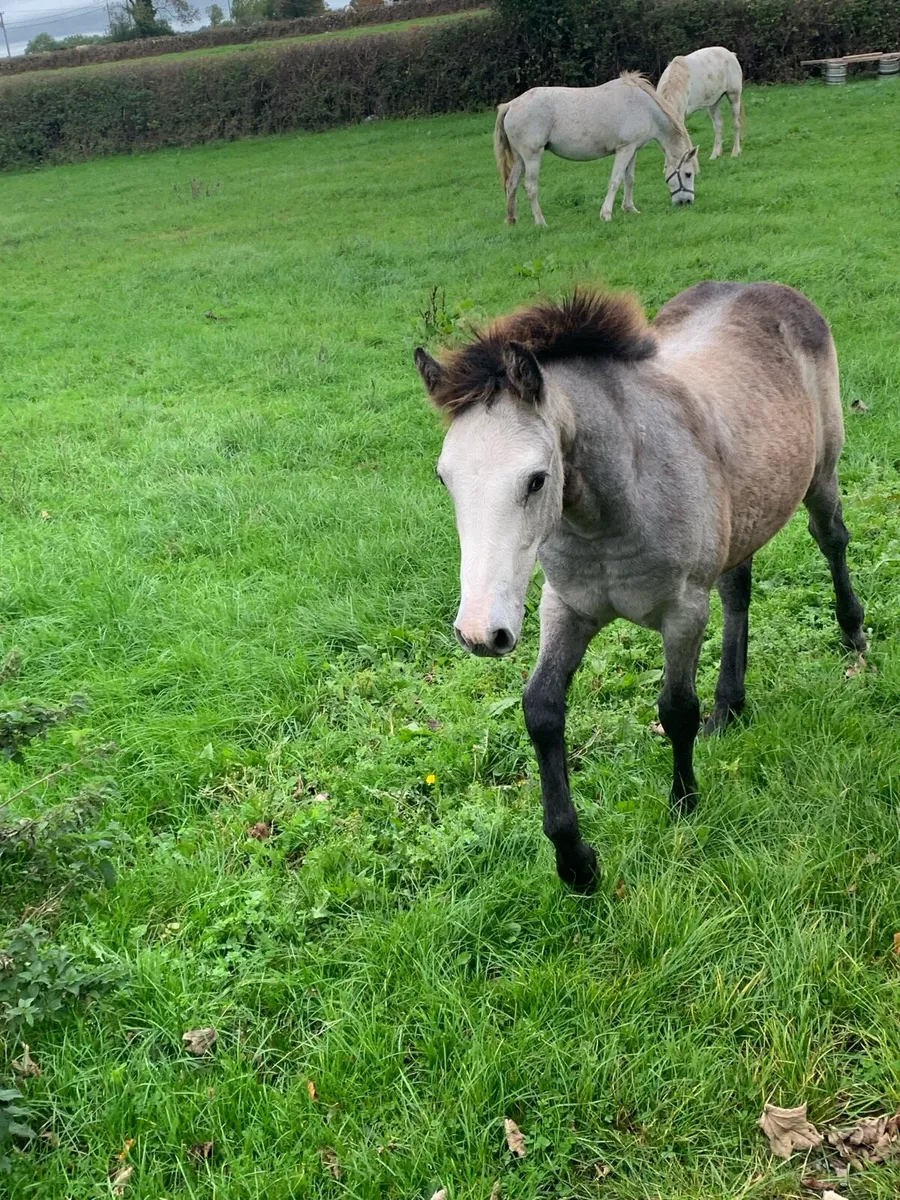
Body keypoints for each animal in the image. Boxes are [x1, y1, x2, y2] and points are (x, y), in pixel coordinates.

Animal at [414, 283, 866, 893]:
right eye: (445, 478)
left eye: (536, 479)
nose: (481, 632)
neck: (615, 502)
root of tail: (766, 290)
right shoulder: (566, 607)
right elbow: (541, 710)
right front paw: (575, 861)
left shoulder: (683, 612)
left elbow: (675, 708)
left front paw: (684, 803)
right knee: (738, 590)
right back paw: (729, 707)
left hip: (821, 474)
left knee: (831, 539)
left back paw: (853, 634)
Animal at [494, 72, 699, 226]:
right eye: (688, 174)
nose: (687, 202)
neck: (644, 107)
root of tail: (511, 105)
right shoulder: (624, 149)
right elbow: (615, 181)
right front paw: (606, 214)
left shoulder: (632, 150)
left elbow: (629, 179)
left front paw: (630, 208)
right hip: (532, 156)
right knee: (530, 187)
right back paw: (540, 222)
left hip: (520, 159)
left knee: (511, 184)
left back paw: (511, 219)